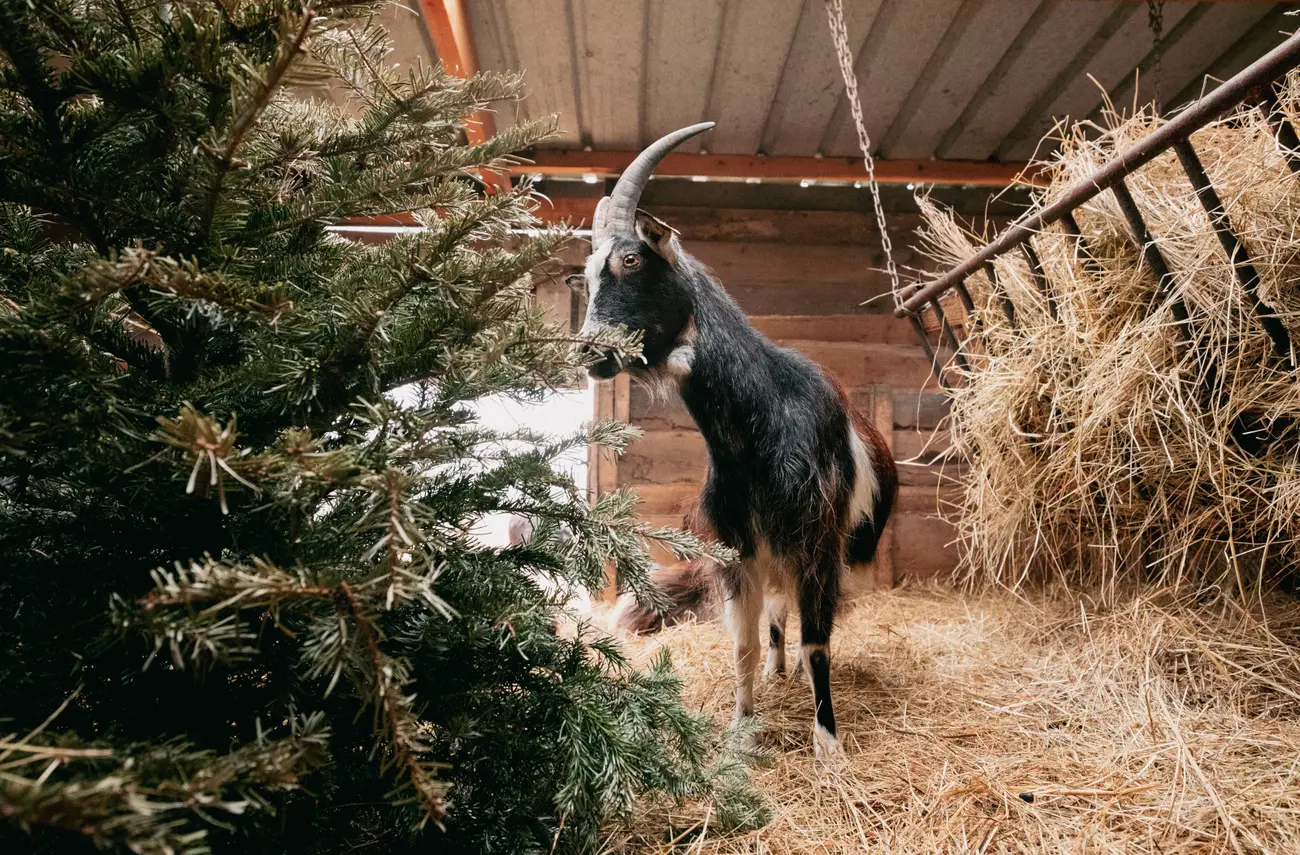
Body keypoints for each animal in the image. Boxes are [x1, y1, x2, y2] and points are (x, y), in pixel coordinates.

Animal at [574, 123, 899, 753]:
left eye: (630, 258)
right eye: (587, 272)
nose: (591, 352)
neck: (756, 430)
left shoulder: (815, 541)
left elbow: (818, 643)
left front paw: (828, 742)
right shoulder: (739, 547)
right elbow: (743, 644)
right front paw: (742, 731)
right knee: (775, 613)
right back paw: (777, 670)